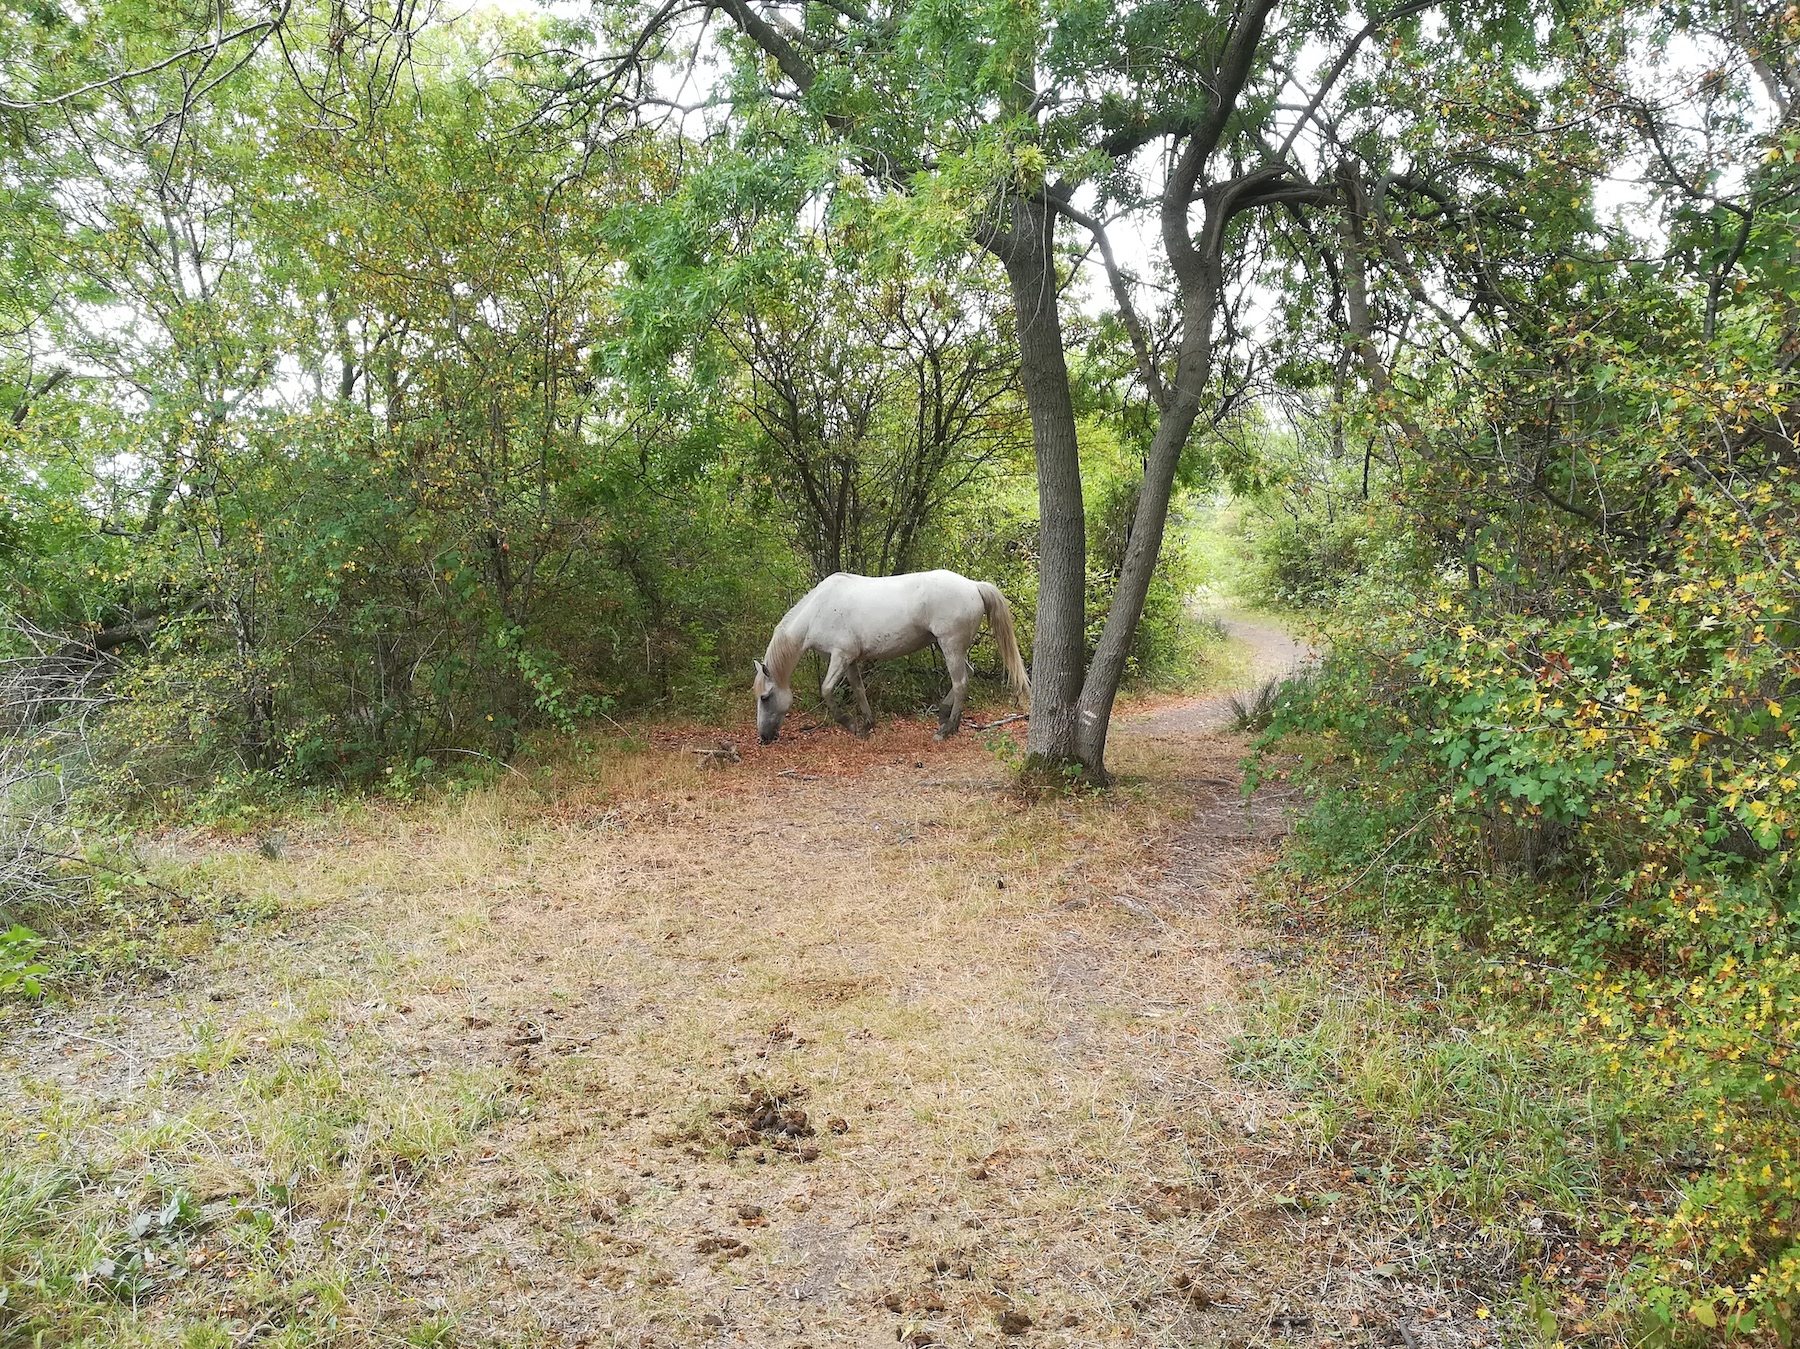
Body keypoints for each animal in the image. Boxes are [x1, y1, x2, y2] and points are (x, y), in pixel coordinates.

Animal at [745, 565, 1029, 742]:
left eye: (765, 697)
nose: (764, 738)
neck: (818, 610)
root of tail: (973, 585)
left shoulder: (840, 656)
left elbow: (826, 690)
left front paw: (849, 723)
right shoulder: (848, 660)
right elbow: (858, 689)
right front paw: (866, 725)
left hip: (950, 645)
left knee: (960, 683)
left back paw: (946, 730)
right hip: (952, 647)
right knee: (966, 675)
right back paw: (946, 717)